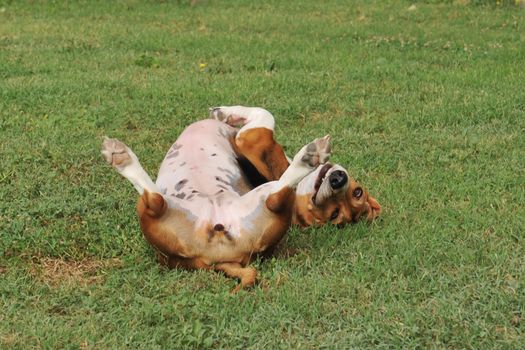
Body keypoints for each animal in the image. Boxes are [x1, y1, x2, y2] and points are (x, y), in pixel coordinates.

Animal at [102, 105, 380, 288]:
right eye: (356, 192)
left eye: (334, 214)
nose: (339, 180)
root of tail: (220, 258)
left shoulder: (251, 140)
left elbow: (265, 114)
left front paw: (227, 112)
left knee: (154, 199)